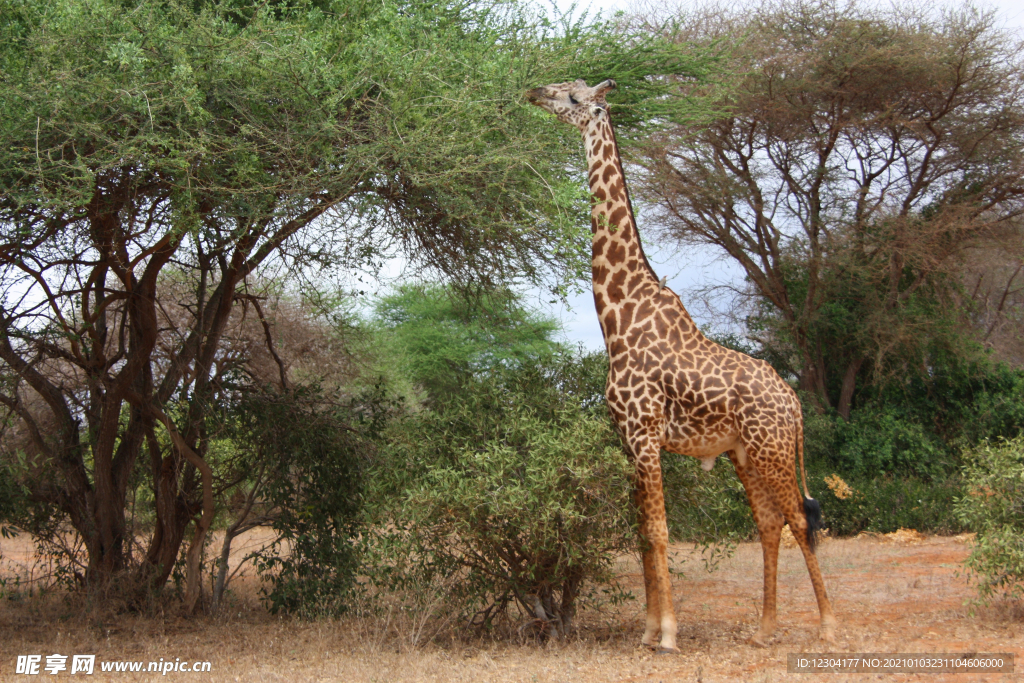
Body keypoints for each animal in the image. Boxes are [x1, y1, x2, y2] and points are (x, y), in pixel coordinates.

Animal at [528, 78, 839, 651]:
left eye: (575, 99)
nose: (536, 91)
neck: (617, 315)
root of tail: (794, 403)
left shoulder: (646, 433)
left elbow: (659, 531)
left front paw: (669, 634)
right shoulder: (628, 440)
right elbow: (642, 535)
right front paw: (649, 631)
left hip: (773, 449)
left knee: (801, 519)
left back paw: (828, 626)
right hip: (745, 453)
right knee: (769, 523)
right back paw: (764, 629)